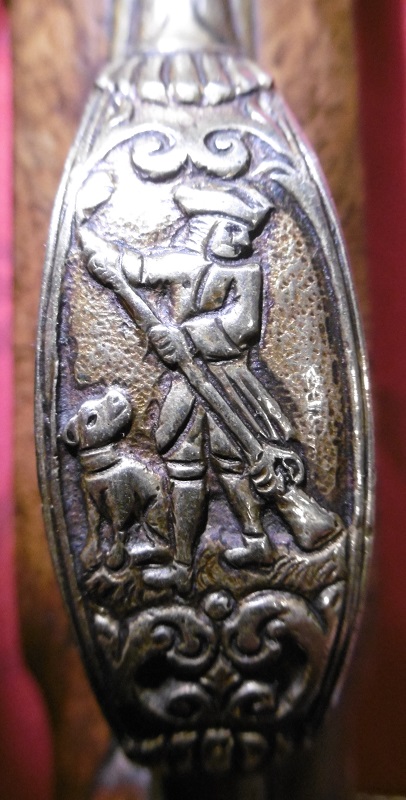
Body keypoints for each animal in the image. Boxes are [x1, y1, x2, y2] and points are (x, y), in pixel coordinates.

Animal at [62, 388, 170, 571]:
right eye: (91, 418)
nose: (113, 396)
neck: (102, 467)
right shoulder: (89, 499)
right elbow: (93, 526)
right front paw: (90, 555)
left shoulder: (120, 497)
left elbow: (118, 527)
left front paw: (115, 557)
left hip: (152, 511)